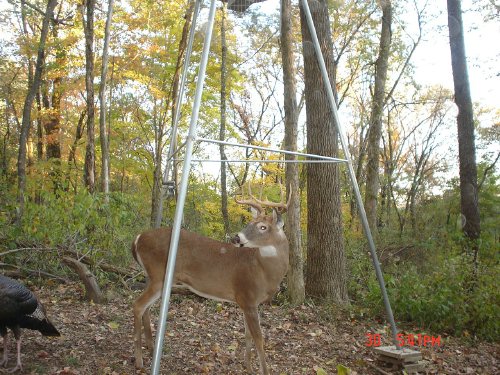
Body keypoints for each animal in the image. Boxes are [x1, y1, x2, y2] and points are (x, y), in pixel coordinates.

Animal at [131, 187, 292, 374]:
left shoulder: (248, 303)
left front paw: (248, 366)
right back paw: (139, 361)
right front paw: (263, 370)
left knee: (146, 307)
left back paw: (150, 347)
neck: (263, 271)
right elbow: (259, 339)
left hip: (154, 277)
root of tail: (138, 238)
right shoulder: (247, 296)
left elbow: (247, 335)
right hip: (158, 275)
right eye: (251, 223)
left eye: (263, 227)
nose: (236, 238)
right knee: (138, 305)